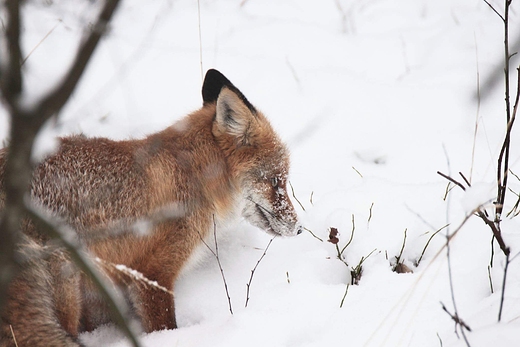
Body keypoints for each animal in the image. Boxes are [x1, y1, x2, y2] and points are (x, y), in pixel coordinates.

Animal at [0, 70, 300, 347]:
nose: (298, 228)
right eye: (276, 181)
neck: (195, 174)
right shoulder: (153, 273)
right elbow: (164, 326)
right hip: (65, 284)